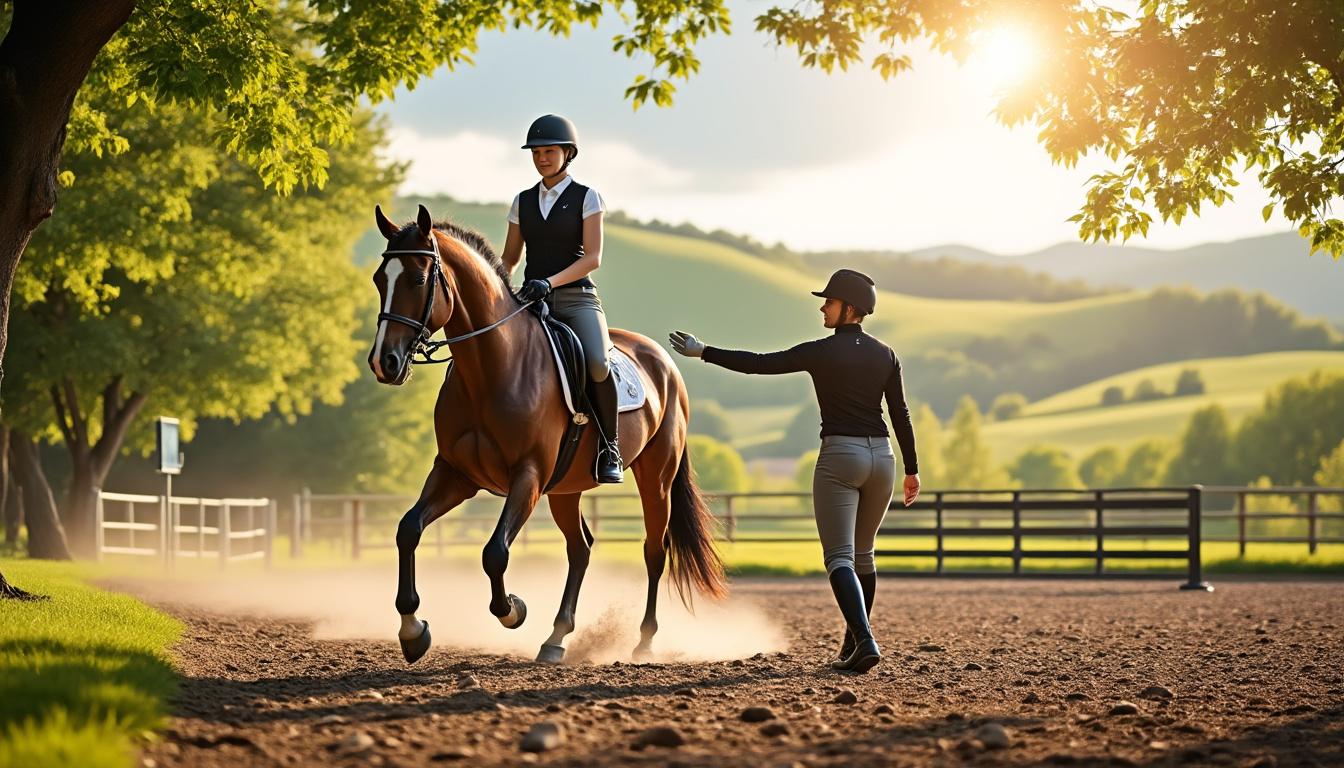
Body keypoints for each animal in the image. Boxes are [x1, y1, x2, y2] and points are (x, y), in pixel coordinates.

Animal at [368, 204, 728, 664]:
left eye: (417, 279)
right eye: (380, 280)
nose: (384, 362)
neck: (491, 369)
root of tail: (664, 361)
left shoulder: (529, 476)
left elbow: (494, 552)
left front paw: (512, 610)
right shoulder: (456, 474)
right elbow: (408, 530)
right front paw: (413, 631)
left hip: (656, 478)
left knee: (653, 551)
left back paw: (644, 641)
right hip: (566, 489)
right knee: (581, 548)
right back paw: (556, 637)